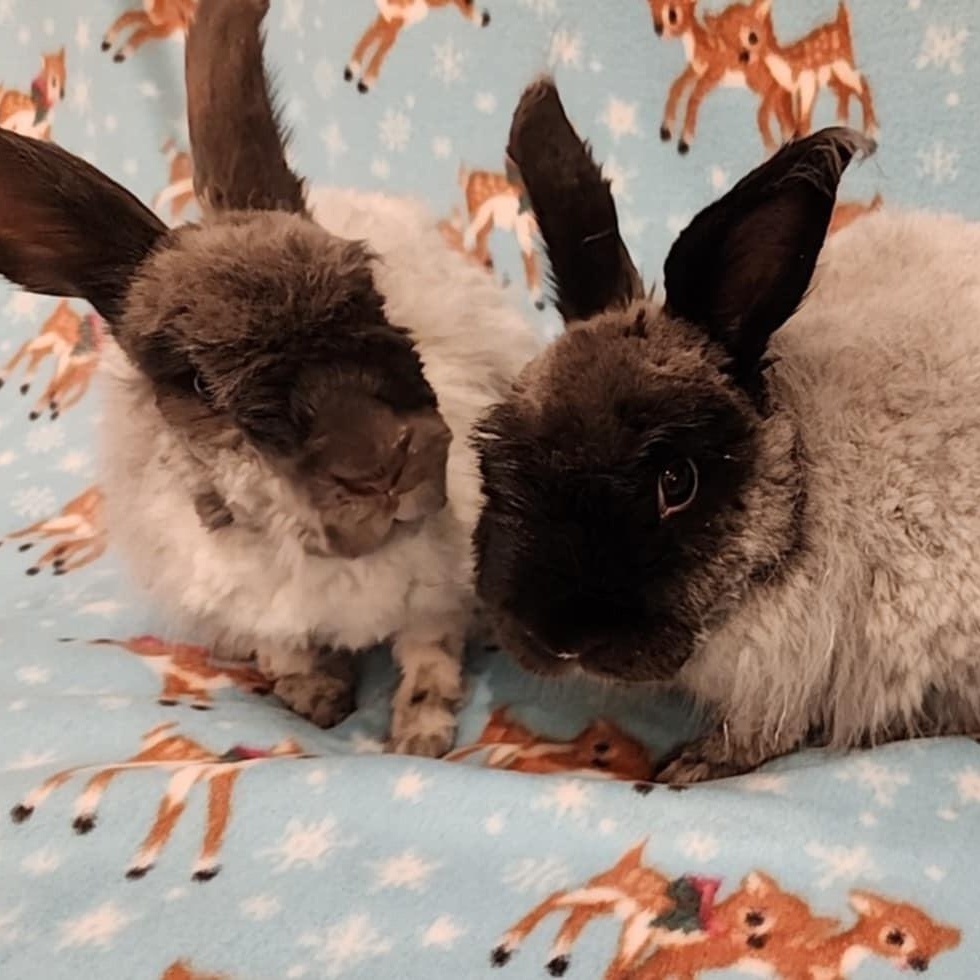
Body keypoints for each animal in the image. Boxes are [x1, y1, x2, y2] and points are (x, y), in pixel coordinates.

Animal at [0, 0, 539, 756]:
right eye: (196, 384)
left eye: (369, 291)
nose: (382, 465)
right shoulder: (256, 614)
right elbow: (287, 654)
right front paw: (319, 703)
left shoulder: (436, 596)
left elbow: (428, 656)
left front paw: (420, 737)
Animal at [473, 76, 980, 783]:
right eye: (499, 460)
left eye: (677, 480)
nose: (559, 639)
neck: (804, 479)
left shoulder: (788, 669)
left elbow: (757, 733)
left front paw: (688, 768)